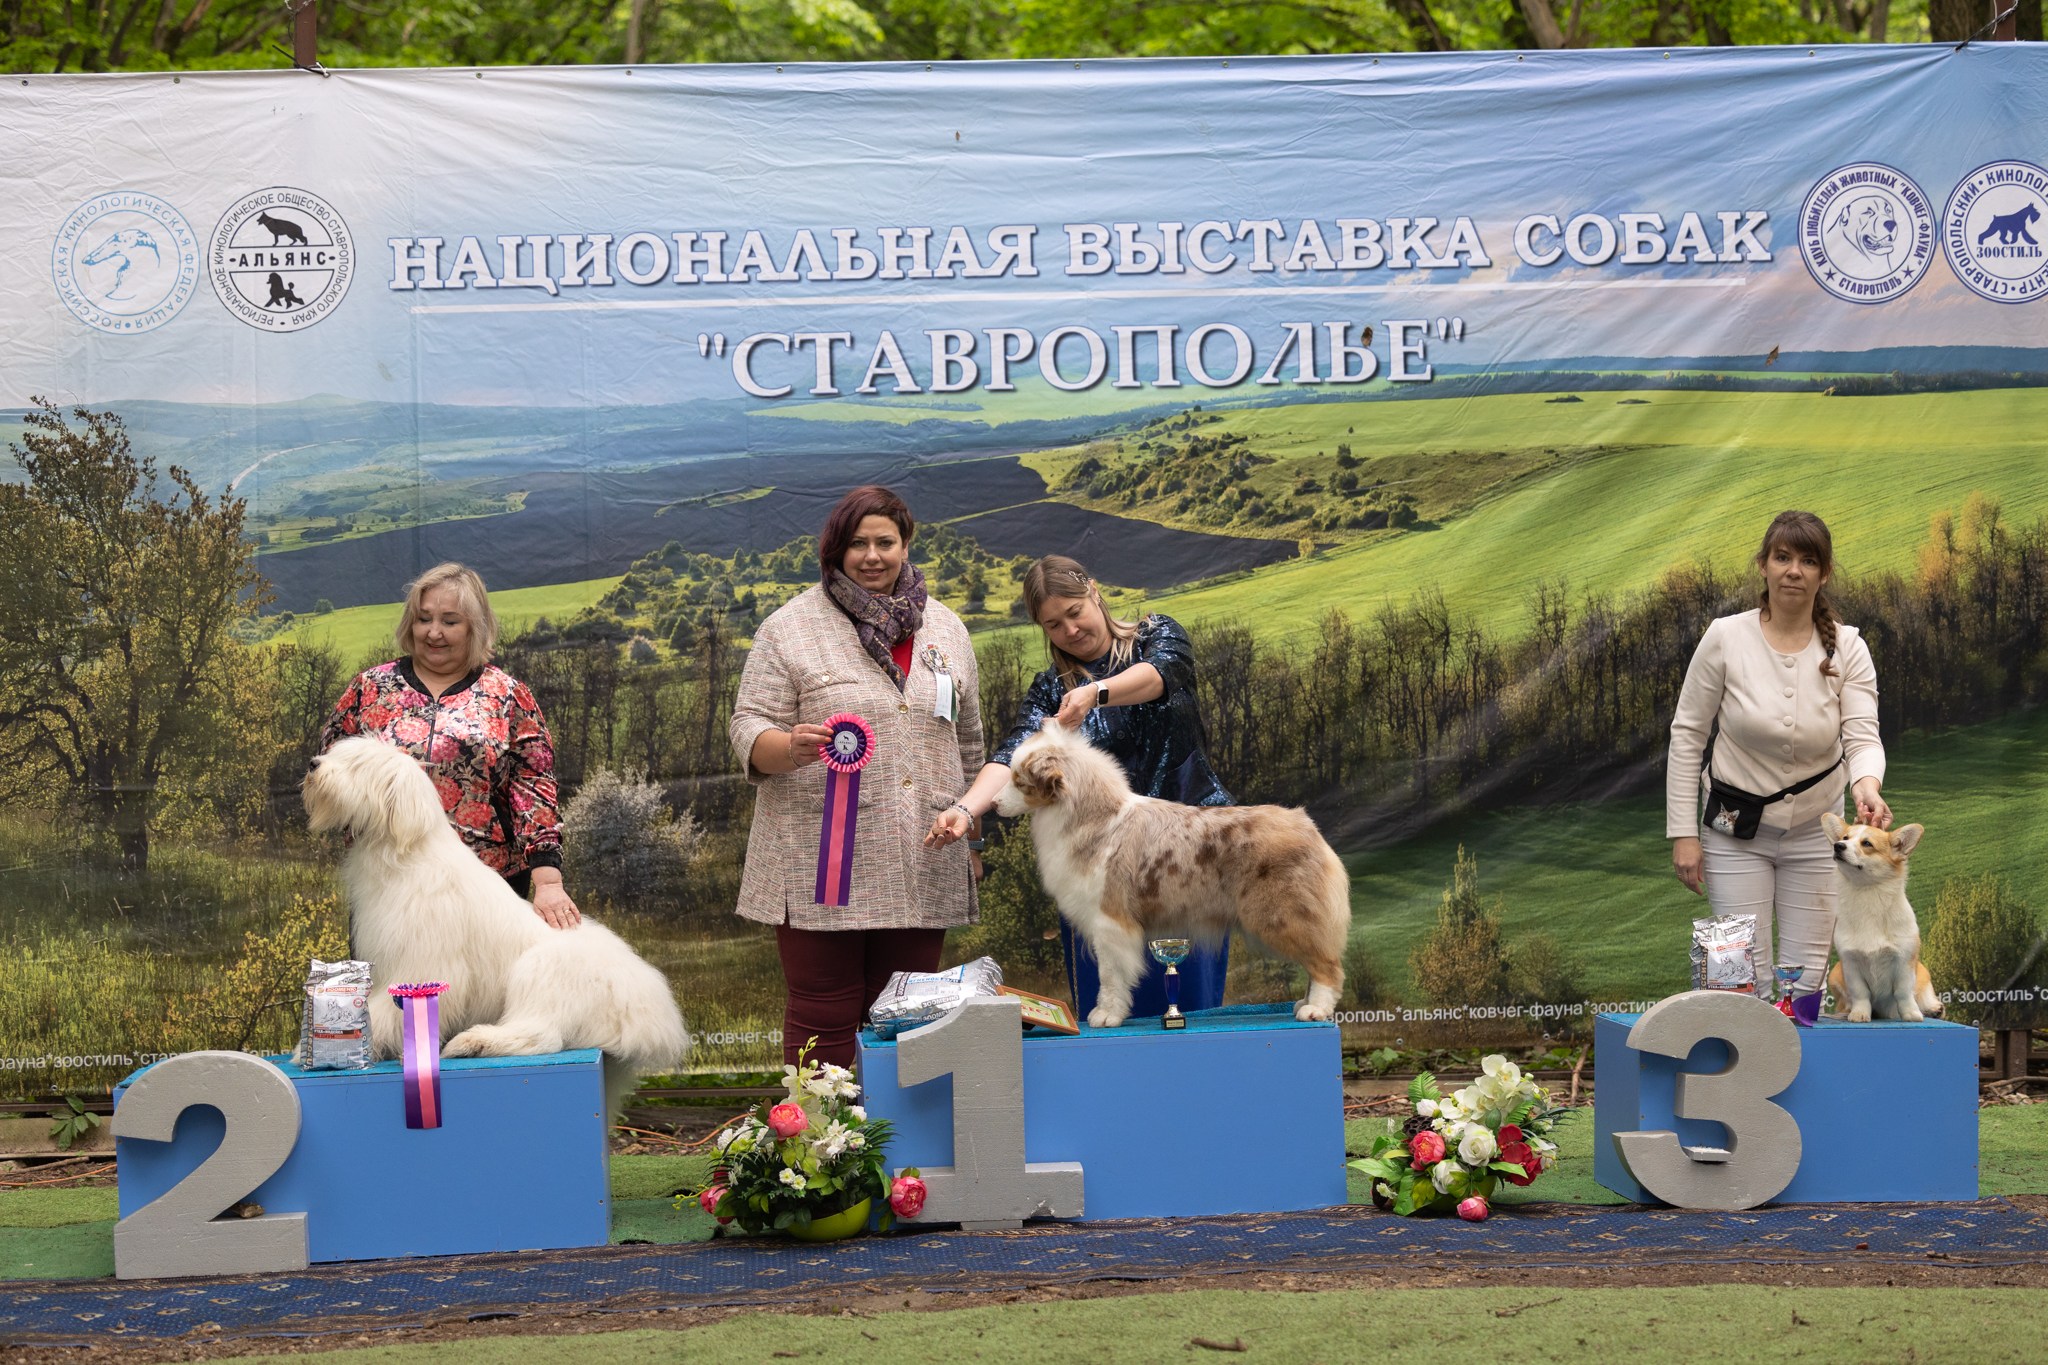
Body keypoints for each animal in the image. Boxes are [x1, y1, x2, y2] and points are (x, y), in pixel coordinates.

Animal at [299, 736, 692, 1113]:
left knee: (542, 1034)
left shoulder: (424, 958)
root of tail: (654, 1016)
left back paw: (474, 1042)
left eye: (358, 764)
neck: (404, 853)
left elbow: (387, 1009)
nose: (313, 763)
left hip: (543, 970)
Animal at [995, 724, 1351, 1023]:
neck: (1094, 818)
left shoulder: (1110, 921)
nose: (995, 803)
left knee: (1328, 966)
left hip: (1281, 915)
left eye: (1020, 782)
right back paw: (1305, 1003)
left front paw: (1106, 1015)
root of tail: (1307, 825)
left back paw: (1316, 1010)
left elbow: (1110, 976)